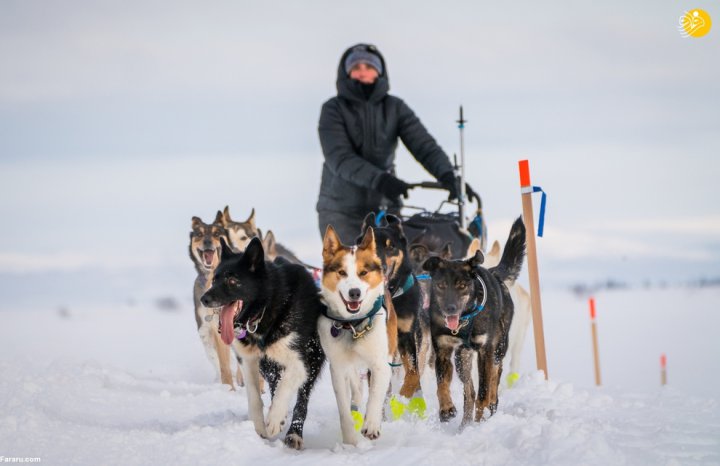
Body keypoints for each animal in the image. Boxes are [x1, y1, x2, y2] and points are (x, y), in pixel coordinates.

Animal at [202, 238, 326, 450]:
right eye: (215, 279)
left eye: (232, 281)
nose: (204, 299)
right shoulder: (249, 360)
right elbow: (254, 396)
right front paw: (261, 425)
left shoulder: (300, 363)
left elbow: (286, 387)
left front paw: (275, 419)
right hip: (269, 366)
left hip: (313, 361)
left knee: (301, 399)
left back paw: (294, 433)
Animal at [320, 227, 400, 448]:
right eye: (342, 272)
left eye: (363, 273)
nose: (354, 292)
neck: (354, 325)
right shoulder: (338, 367)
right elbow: (343, 409)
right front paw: (349, 440)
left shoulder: (381, 364)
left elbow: (375, 397)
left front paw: (371, 425)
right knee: (355, 386)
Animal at [422, 217, 524, 428]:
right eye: (441, 285)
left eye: (462, 285)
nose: (450, 309)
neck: (464, 321)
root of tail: (495, 273)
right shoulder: (443, 349)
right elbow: (441, 383)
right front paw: (446, 409)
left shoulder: (485, 349)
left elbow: (485, 388)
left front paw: (482, 416)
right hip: (462, 358)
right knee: (469, 391)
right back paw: (466, 422)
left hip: (498, 348)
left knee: (495, 375)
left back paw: (489, 406)